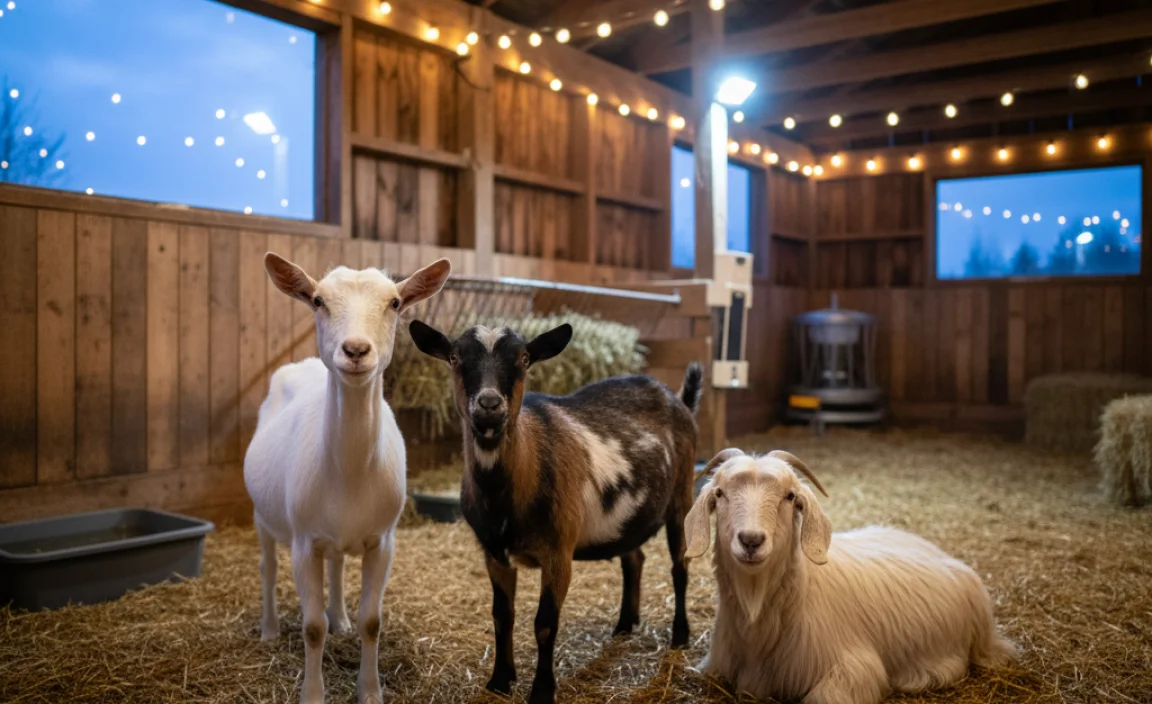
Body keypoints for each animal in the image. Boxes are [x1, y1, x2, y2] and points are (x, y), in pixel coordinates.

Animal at [244, 253, 450, 704]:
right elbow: (311, 627)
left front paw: (370, 691)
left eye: (395, 303)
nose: (356, 350)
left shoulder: (383, 541)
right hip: (262, 516)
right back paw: (269, 630)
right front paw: (312, 694)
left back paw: (338, 617)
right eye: (318, 301)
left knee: (336, 564)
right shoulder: (304, 542)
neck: (352, 473)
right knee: (267, 566)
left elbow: (371, 622)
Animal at [409, 319, 703, 704]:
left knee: (679, 565)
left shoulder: (558, 552)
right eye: (455, 357)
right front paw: (500, 680)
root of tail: (678, 398)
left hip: (681, 497)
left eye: (523, 357)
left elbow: (545, 624)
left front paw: (542, 691)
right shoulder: (494, 554)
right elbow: (502, 616)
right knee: (633, 558)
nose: (489, 404)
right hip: (629, 517)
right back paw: (625, 625)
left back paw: (680, 636)